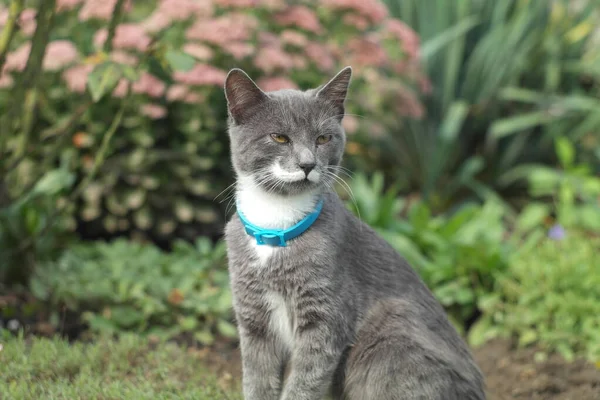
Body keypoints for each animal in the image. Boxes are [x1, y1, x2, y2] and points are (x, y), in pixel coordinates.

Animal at [223, 67, 486, 398]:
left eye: (323, 138)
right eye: (279, 137)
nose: (307, 163)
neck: (276, 227)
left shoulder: (326, 319)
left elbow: (304, 383)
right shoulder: (253, 319)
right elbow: (257, 381)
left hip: (392, 328)